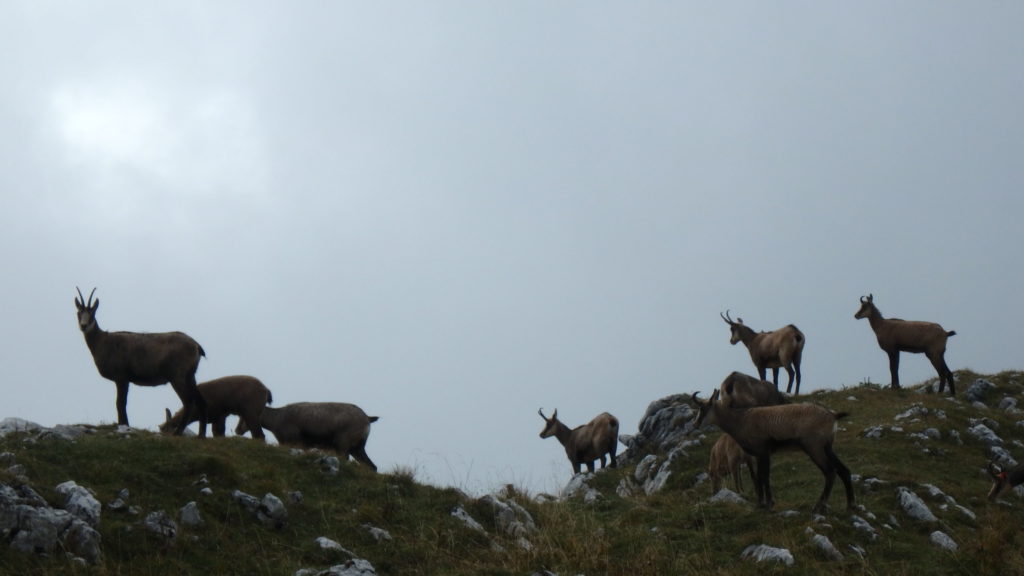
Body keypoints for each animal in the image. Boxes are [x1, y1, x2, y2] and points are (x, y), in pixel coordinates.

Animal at [74, 286, 207, 434]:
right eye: (79, 312)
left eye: (93, 313)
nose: (84, 325)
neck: (102, 342)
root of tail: (196, 345)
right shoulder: (124, 379)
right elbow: (121, 403)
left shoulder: (121, 377)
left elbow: (120, 403)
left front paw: (124, 425)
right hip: (190, 375)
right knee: (201, 401)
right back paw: (200, 435)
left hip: (177, 376)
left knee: (188, 402)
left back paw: (178, 433)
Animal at [236, 401, 380, 469]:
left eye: (244, 416)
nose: (237, 430)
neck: (277, 419)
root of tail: (368, 418)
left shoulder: (296, 442)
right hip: (357, 447)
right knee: (372, 466)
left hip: (343, 444)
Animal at [692, 385, 851, 510]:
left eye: (703, 408)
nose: (695, 424)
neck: (741, 420)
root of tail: (832, 415)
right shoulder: (757, 455)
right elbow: (758, 476)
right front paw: (761, 503)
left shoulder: (763, 452)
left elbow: (764, 476)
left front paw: (768, 503)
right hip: (827, 448)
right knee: (843, 470)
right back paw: (850, 506)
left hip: (814, 448)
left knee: (830, 472)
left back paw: (819, 506)